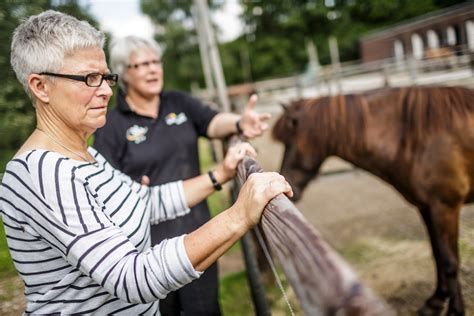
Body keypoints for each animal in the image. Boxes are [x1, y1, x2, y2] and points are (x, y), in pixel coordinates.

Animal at [272, 86, 474, 316]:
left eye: (289, 142)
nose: (288, 183)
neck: (419, 136)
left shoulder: (445, 207)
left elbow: (450, 261)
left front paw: (455, 310)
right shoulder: (427, 208)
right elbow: (438, 254)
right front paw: (435, 302)